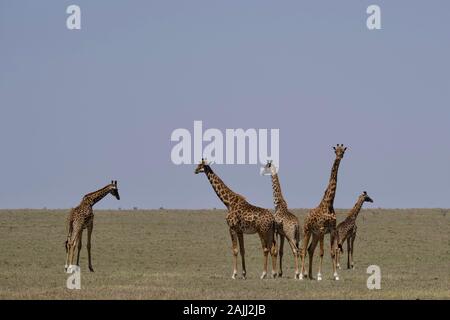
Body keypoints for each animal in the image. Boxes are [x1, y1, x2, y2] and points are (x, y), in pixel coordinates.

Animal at [298, 143, 348, 280]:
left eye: (343, 151)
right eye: (336, 151)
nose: (339, 157)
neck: (329, 204)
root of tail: (305, 218)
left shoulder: (332, 230)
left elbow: (331, 252)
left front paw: (336, 275)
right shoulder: (321, 229)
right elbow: (321, 252)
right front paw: (320, 275)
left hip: (315, 235)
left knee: (310, 249)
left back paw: (310, 275)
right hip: (307, 231)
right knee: (304, 250)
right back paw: (301, 275)